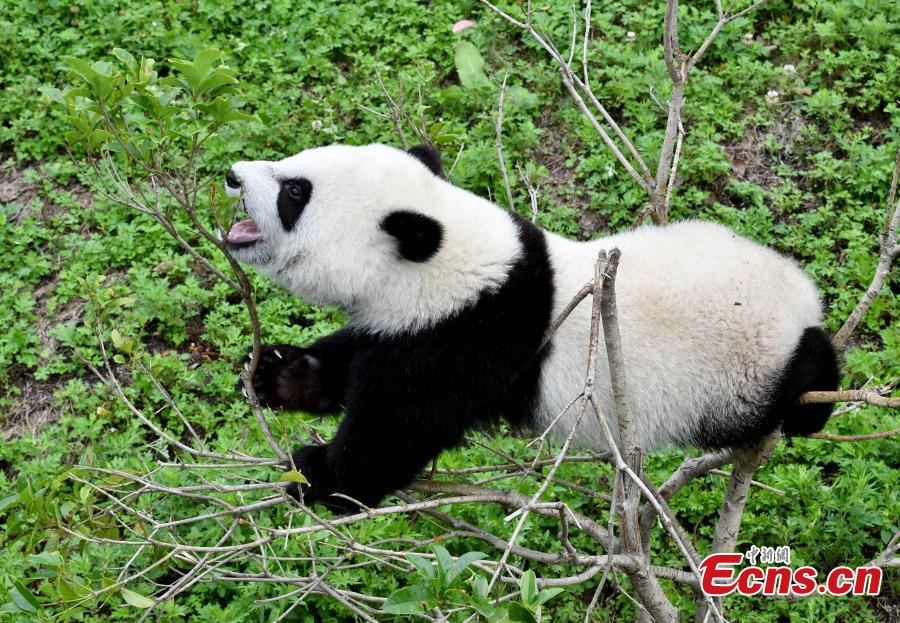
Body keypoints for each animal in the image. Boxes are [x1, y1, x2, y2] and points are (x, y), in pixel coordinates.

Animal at [221, 143, 840, 512]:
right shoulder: (408, 320)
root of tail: (805, 300)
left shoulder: (471, 332)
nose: (232, 174)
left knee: (798, 389)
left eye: (294, 191)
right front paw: (279, 373)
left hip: (739, 375)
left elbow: (398, 428)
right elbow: (356, 358)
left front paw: (317, 473)